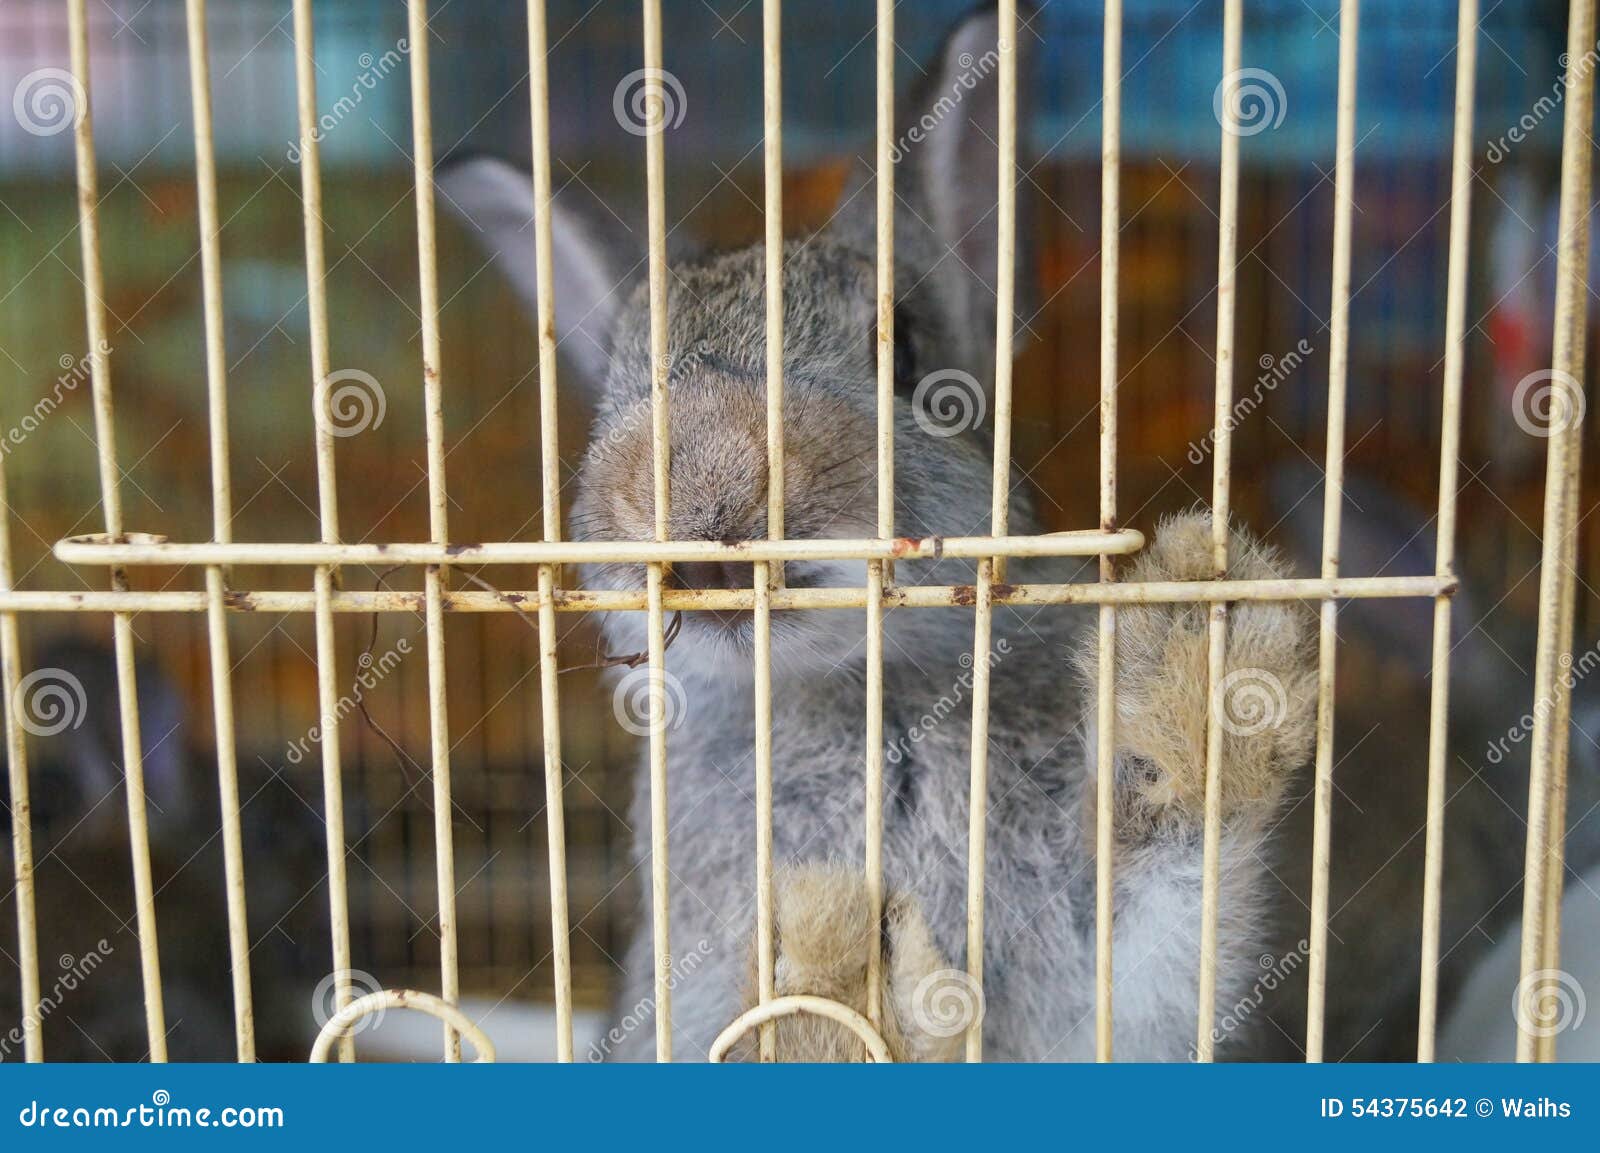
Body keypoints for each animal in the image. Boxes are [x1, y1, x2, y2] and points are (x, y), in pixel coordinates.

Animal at [440, 5, 1318, 1060]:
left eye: (906, 354)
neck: (866, 694)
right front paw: (830, 960)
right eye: (617, 378)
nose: (706, 491)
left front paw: (1205, 656)